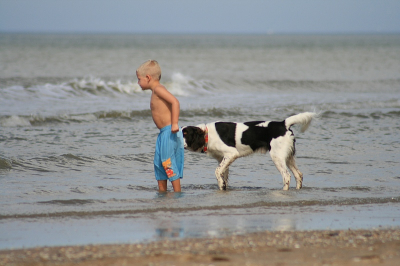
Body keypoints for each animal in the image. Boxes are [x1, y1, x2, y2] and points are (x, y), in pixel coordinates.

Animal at [181, 112, 316, 191]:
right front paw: (223, 187)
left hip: (277, 157)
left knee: (286, 176)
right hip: (288, 157)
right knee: (298, 174)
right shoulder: (223, 158)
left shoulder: (231, 153)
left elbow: (217, 171)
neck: (207, 134)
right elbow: (223, 176)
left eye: (185, 134)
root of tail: (283, 124)